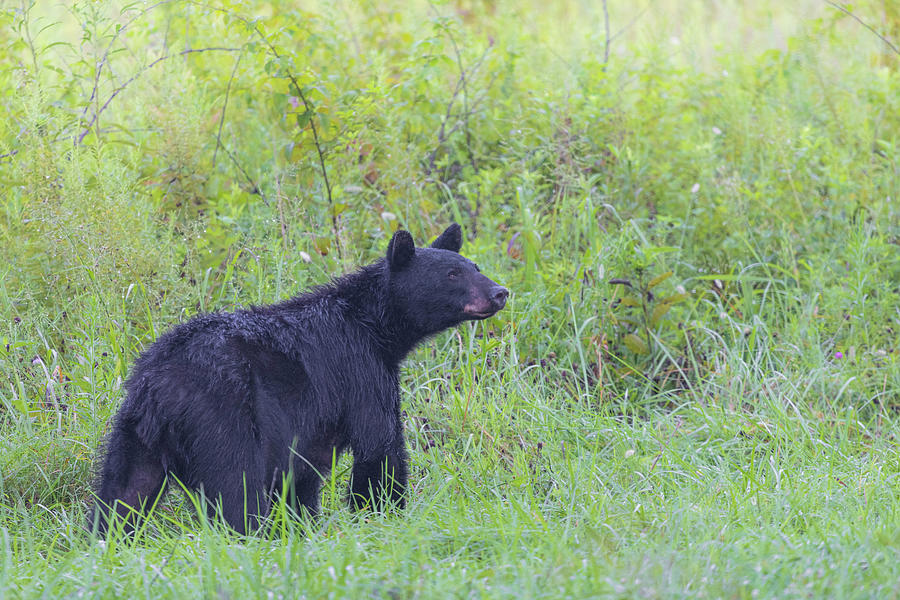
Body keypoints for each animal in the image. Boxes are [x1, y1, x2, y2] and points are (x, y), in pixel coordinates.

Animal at [91, 223, 510, 532]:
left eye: (475, 266)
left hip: (134, 432)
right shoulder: (361, 370)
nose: (500, 291)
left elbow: (300, 476)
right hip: (223, 416)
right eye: (452, 274)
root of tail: (159, 384)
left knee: (125, 492)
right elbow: (379, 442)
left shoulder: (304, 427)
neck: (374, 325)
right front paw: (384, 514)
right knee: (236, 487)